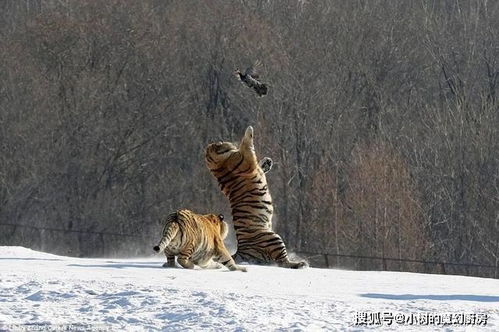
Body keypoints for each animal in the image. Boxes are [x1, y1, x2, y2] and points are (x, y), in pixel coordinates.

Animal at [205, 126, 306, 268]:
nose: (221, 141)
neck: (219, 165)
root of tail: (240, 251)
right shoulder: (247, 159)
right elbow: (247, 143)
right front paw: (249, 130)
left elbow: (259, 164)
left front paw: (267, 162)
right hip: (273, 238)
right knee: (282, 262)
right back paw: (300, 263)